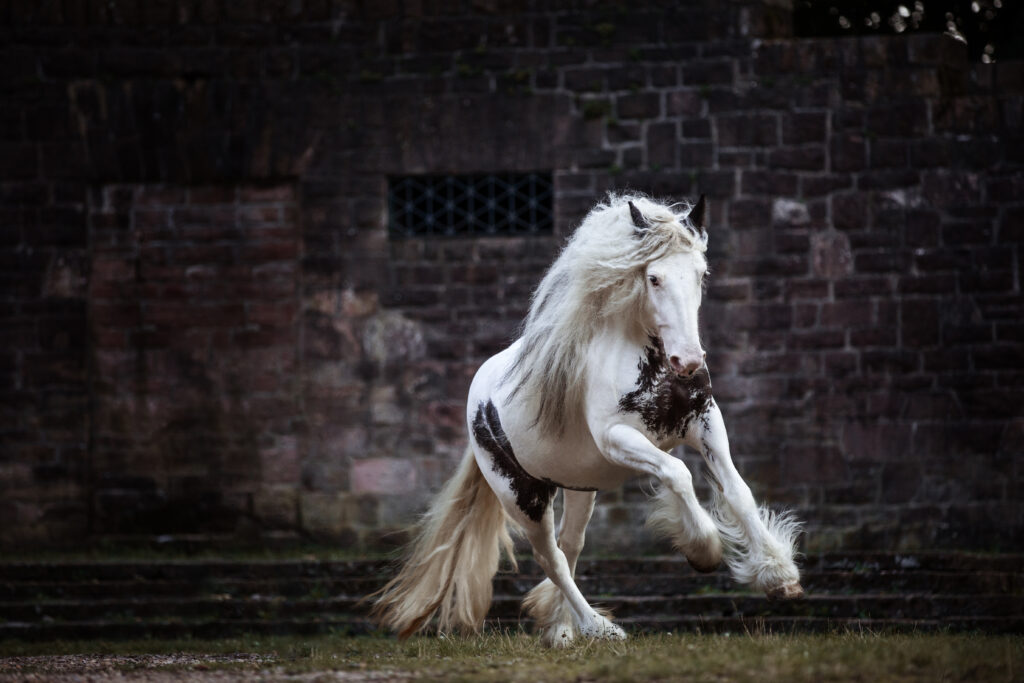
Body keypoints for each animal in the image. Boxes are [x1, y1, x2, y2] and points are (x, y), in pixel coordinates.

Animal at [372, 191, 802, 647]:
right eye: (654, 279)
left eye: (701, 275)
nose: (688, 362)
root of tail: (479, 397)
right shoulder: (618, 439)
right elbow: (679, 474)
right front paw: (703, 549)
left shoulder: (706, 422)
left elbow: (738, 492)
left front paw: (780, 576)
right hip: (523, 497)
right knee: (552, 558)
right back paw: (598, 627)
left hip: (579, 487)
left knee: (570, 546)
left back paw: (562, 629)